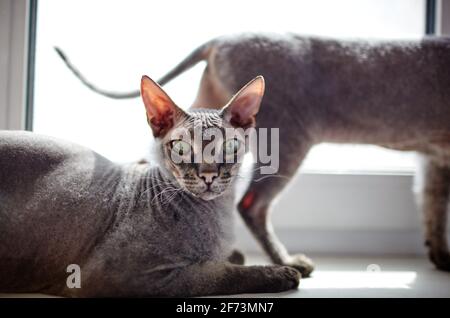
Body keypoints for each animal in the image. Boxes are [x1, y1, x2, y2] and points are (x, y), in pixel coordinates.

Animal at [1, 75, 302, 298]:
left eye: (229, 146)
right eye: (181, 148)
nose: (208, 175)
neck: (218, 214)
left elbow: (231, 257)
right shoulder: (122, 276)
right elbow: (217, 274)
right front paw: (281, 272)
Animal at [55, 33, 450, 274]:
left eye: (228, 146)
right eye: (185, 148)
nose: (208, 175)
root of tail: (222, 38)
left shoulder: (435, 160)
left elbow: (432, 206)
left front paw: (440, 256)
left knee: (145, 160)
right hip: (293, 136)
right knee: (252, 204)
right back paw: (285, 260)